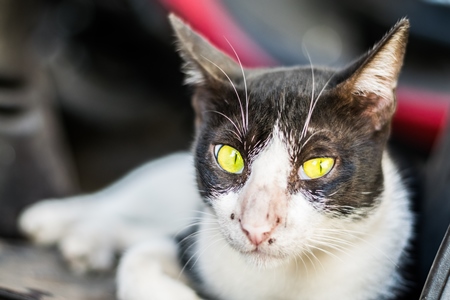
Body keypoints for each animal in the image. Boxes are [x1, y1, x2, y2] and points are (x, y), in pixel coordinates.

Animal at [19, 14, 414, 300]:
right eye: (230, 157)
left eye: (317, 165)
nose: (256, 227)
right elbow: (140, 259)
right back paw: (55, 219)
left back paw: (86, 240)